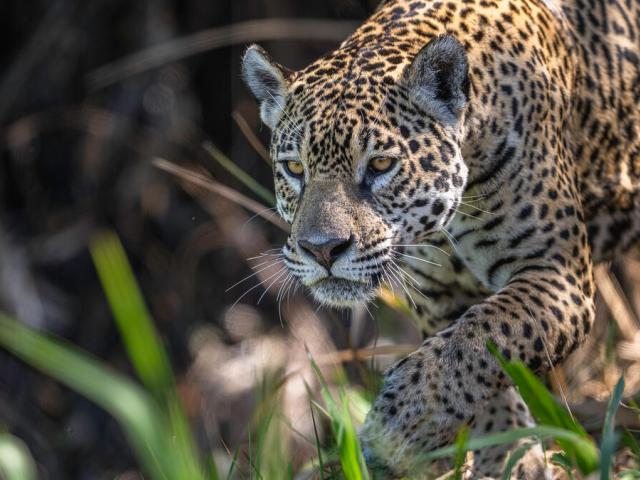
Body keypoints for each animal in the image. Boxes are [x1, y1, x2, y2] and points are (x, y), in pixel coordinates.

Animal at [241, 0, 640, 476]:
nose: (322, 249)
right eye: (294, 168)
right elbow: (479, 361)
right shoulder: (438, 296)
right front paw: (506, 457)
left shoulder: (557, 272)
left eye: (380, 164)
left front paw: (401, 426)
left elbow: (480, 338)